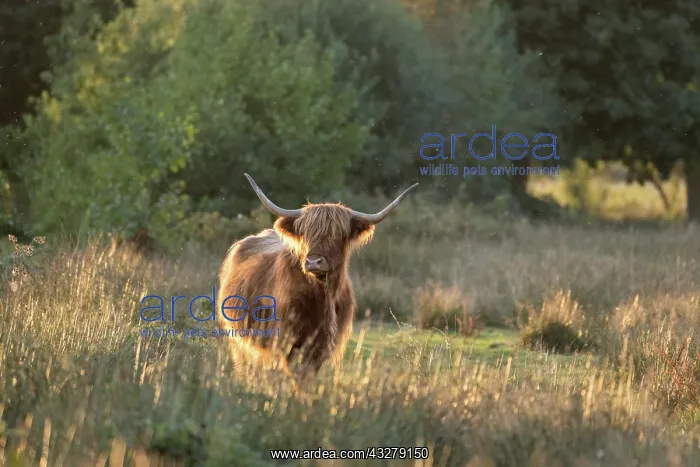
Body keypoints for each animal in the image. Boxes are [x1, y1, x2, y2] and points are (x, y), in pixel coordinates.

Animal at [216, 174, 418, 377]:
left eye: (337, 235)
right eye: (306, 234)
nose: (313, 262)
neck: (323, 297)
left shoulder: (324, 346)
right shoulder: (287, 341)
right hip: (239, 340)